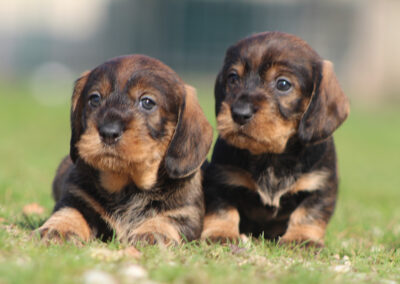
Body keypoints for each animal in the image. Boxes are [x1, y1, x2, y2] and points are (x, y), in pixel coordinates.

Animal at [37, 54, 212, 245]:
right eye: (95, 98)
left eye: (147, 102)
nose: (109, 132)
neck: (127, 186)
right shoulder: (75, 197)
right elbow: (70, 212)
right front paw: (59, 228)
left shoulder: (186, 213)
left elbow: (165, 219)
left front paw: (152, 232)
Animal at [202, 31, 348, 246]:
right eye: (233, 78)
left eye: (283, 84)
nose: (239, 113)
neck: (271, 157)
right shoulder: (221, 179)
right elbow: (223, 209)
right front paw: (220, 233)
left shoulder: (320, 185)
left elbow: (308, 214)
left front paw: (301, 238)